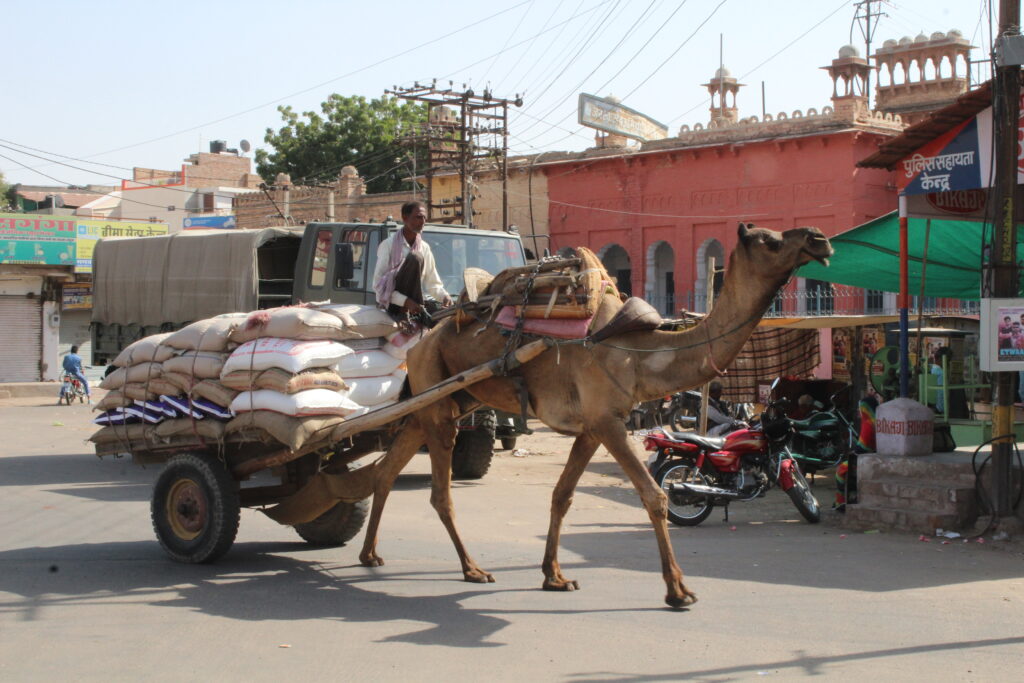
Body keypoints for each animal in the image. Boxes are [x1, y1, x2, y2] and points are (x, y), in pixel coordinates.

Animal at [356, 224, 827, 610]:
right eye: (769, 240)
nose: (820, 239)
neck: (639, 355)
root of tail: (420, 340)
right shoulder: (607, 421)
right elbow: (655, 497)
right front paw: (678, 591)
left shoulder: (591, 428)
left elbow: (562, 495)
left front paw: (554, 576)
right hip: (438, 401)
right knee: (440, 492)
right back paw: (471, 568)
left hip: (442, 401)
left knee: (386, 469)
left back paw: (370, 554)